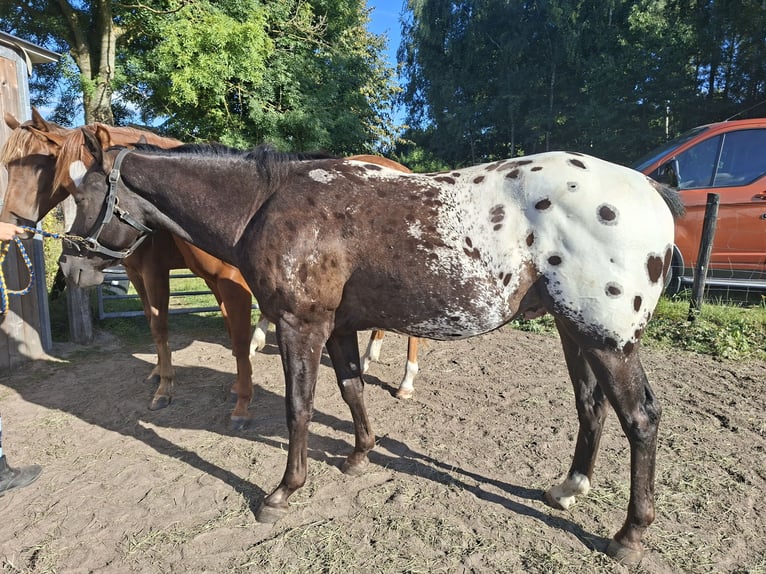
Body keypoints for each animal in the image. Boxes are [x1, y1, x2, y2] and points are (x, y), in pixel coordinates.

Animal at [59, 127, 683, 564]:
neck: (269, 205)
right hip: (575, 332)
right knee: (590, 406)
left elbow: (300, 408)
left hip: (609, 340)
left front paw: (282, 492)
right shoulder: (336, 327)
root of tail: (649, 189)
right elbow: (351, 388)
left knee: (641, 419)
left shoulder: (299, 325)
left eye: (81, 196)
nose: (68, 269)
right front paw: (360, 455)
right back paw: (568, 488)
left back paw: (629, 535)